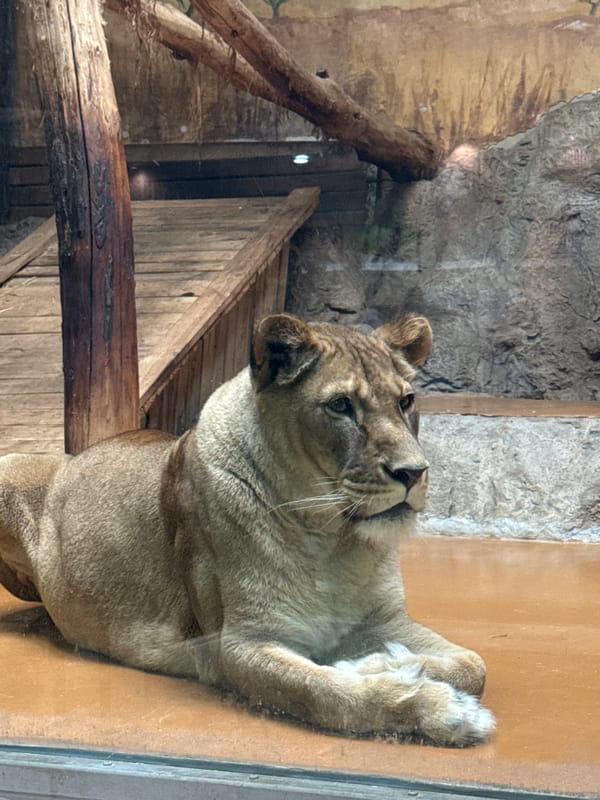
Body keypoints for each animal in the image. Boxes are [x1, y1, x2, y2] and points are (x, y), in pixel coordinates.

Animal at [0, 313, 494, 746]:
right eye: (340, 406)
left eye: (405, 401)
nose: (413, 473)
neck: (333, 540)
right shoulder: (239, 645)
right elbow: (328, 695)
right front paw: (438, 707)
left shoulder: (385, 618)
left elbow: (474, 664)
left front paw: (382, 660)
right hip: (10, 465)